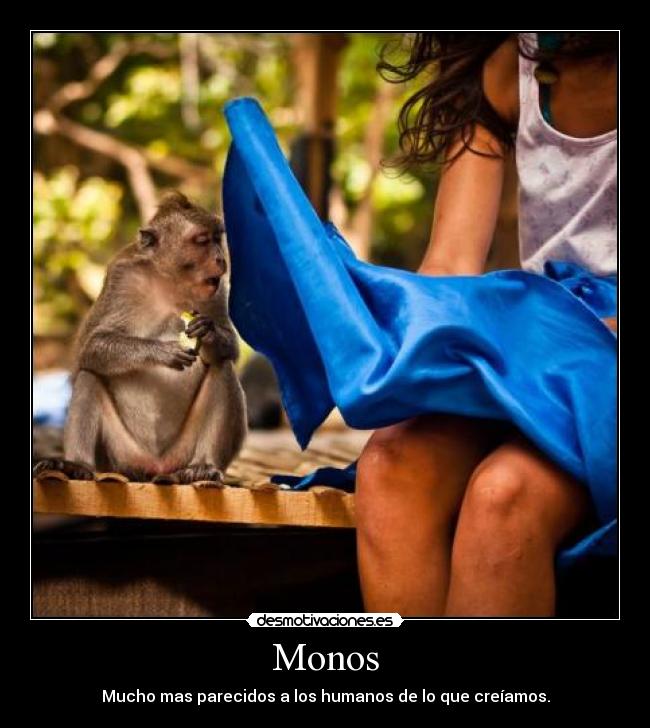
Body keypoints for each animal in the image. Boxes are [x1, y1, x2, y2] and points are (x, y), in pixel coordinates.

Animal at [33, 192, 247, 484]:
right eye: (203, 240)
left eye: (217, 238)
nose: (221, 259)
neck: (170, 283)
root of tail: (156, 467)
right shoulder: (123, 279)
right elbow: (90, 347)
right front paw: (160, 351)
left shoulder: (217, 291)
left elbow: (231, 350)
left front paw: (209, 332)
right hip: (120, 455)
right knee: (90, 376)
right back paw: (76, 464)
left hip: (180, 453)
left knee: (221, 367)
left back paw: (203, 465)